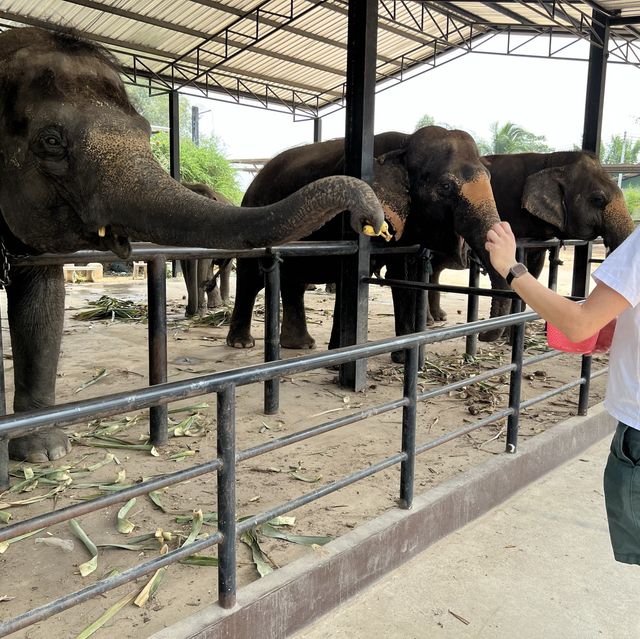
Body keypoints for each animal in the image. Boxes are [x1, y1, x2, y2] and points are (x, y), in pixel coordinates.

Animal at [225, 125, 510, 360]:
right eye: (446, 187)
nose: (483, 334)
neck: (405, 142)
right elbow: (355, 272)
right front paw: (342, 356)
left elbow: (405, 275)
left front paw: (406, 358)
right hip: (252, 214)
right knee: (251, 278)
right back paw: (242, 343)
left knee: (294, 280)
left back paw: (301, 345)